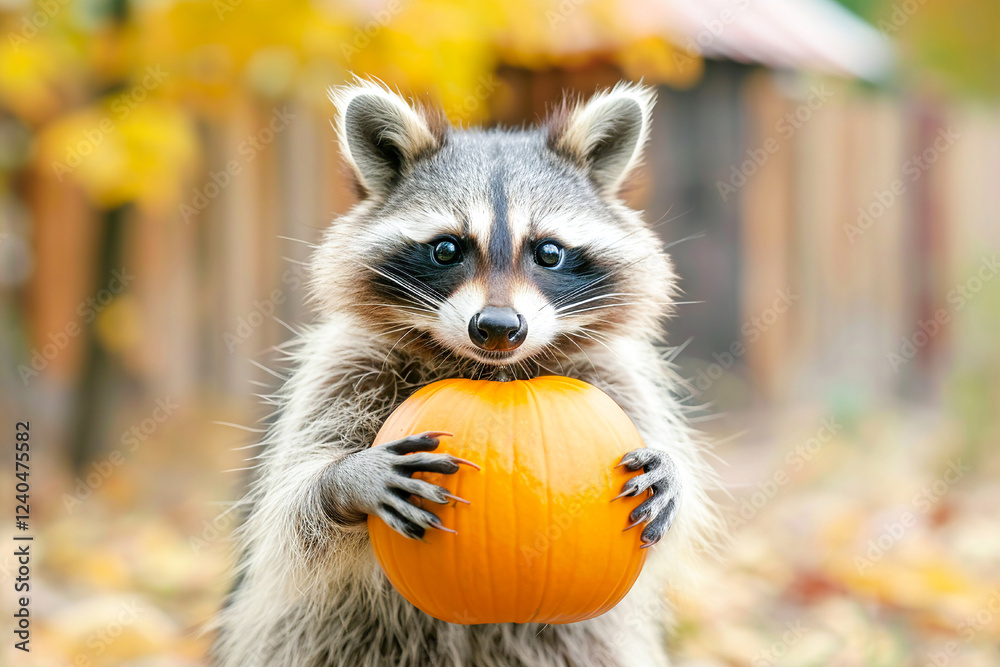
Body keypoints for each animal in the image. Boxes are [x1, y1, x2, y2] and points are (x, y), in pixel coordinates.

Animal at [211, 79, 722, 667]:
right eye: (446, 248)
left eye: (548, 252)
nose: (498, 328)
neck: (491, 372)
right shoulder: (343, 369)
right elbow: (291, 514)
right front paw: (345, 479)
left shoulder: (615, 377)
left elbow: (673, 519)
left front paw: (672, 473)